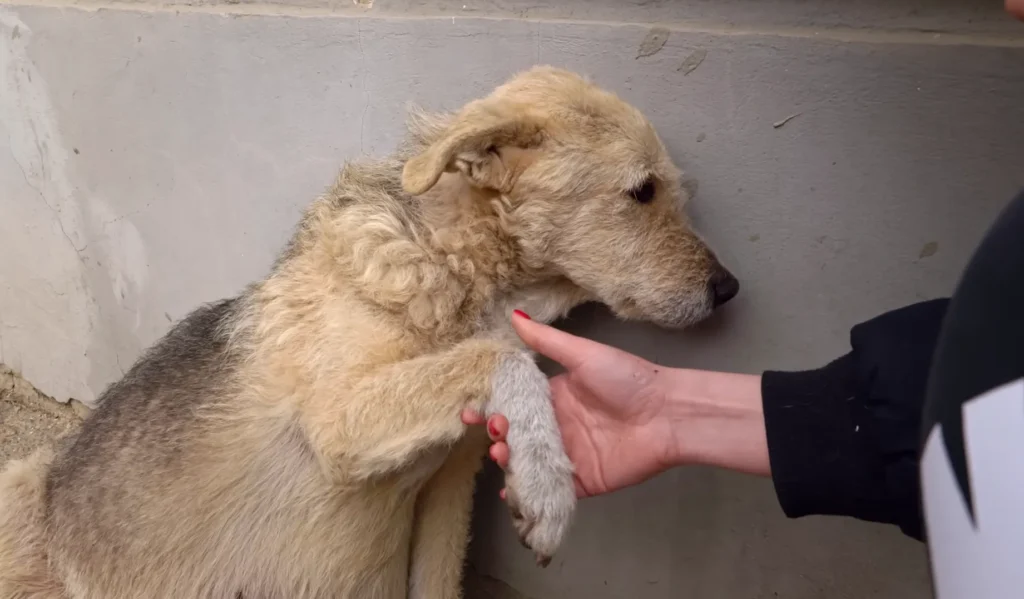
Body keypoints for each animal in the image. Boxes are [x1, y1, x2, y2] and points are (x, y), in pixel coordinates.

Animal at [0, 66, 737, 597]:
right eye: (641, 191)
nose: (728, 289)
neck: (451, 272)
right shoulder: (338, 420)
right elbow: (504, 359)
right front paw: (549, 485)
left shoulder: (449, 485)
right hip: (20, 481)